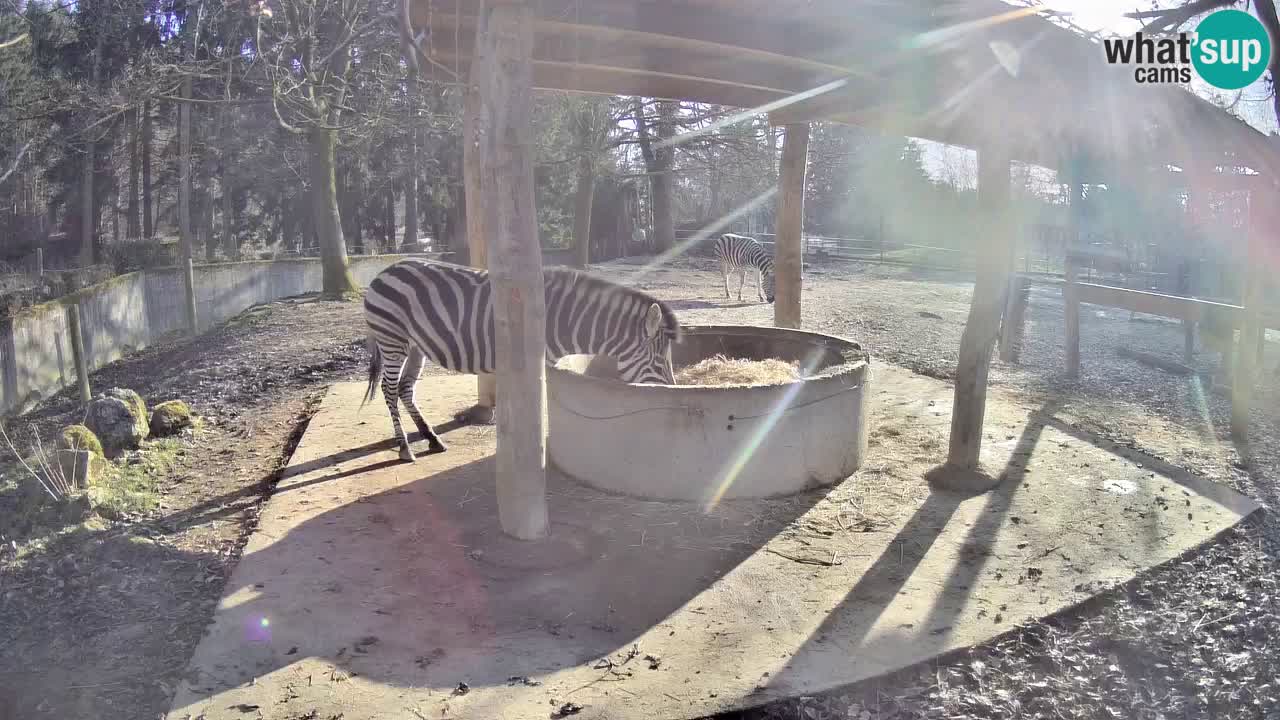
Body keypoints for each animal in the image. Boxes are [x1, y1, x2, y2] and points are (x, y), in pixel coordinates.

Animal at [360, 257, 680, 458]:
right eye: (659, 362)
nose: (672, 393)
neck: (563, 319)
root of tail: (385, 271)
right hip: (393, 339)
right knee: (389, 389)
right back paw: (405, 448)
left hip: (416, 347)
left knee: (405, 388)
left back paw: (432, 439)